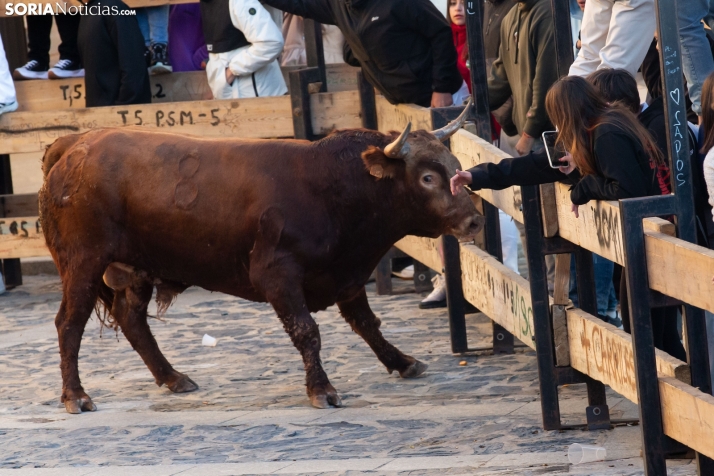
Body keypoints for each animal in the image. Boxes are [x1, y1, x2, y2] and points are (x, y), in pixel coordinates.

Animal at [40, 108, 484, 412]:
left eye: (456, 168)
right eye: (427, 177)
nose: (474, 220)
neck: (330, 185)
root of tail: (74, 145)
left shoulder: (347, 273)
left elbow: (366, 323)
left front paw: (402, 361)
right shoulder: (277, 274)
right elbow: (306, 331)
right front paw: (322, 389)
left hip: (135, 270)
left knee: (132, 320)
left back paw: (174, 378)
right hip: (84, 262)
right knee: (70, 323)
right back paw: (76, 395)